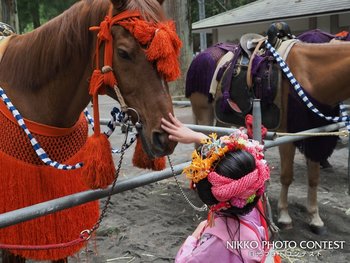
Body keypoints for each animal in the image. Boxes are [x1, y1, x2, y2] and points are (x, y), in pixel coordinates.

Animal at [187, 40, 350, 235]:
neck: (310, 75)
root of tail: (201, 56)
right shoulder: (287, 137)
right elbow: (287, 176)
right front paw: (285, 216)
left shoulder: (315, 135)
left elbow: (314, 178)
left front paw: (315, 218)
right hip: (204, 112)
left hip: (222, 119)